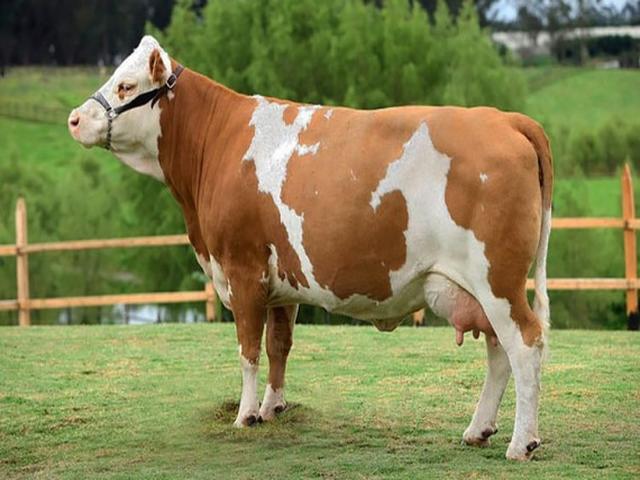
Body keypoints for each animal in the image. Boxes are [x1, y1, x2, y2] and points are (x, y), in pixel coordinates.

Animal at [68, 36, 553, 461]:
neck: (217, 142)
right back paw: (478, 429)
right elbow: (278, 346)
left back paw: (521, 443)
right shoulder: (281, 284)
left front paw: (245, 416)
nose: (74, 118)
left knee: (525, 344)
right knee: (498, 351)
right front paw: (272, 408)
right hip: (482, 289)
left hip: (498, 281)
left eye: (125, 85)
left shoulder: (242, 270)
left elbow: (248, 350)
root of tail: (505, 119)